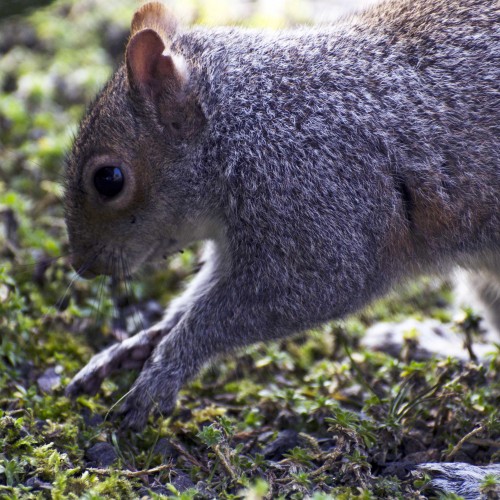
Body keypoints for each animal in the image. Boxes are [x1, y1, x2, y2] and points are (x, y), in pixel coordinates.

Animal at [64, 0, 498, 430]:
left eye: (108, 180)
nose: (82, 266)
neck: (246, 123)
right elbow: (192, 302)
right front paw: (133, 346)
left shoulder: (321, 205)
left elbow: (270, 302)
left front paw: (162, 373)